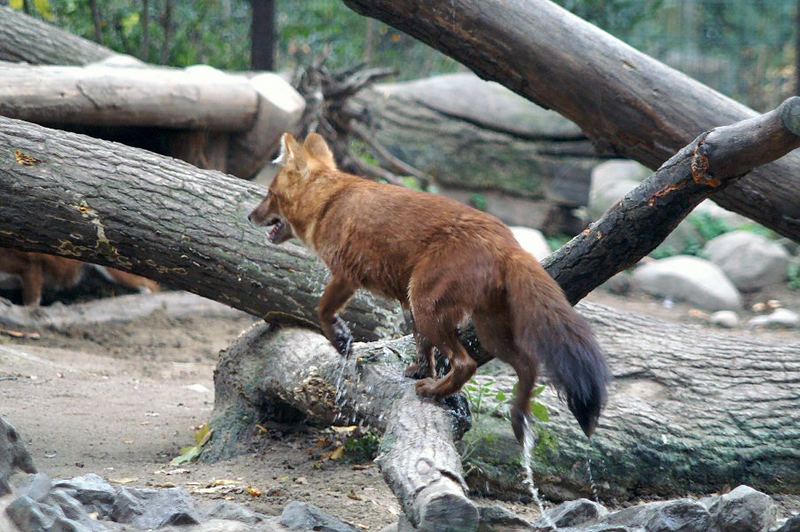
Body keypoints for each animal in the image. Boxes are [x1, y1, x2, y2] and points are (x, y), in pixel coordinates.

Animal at [247, 132, 608, 440]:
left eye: (270, 194)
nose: (250, 215)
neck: (331, 201)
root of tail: (508, 243)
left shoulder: (347, 275)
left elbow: (322, 310)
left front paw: (341, 339)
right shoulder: (404, 302)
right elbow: (421, 345)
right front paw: (420, 371)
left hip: (429, 304)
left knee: (467, 363)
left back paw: (436, 392)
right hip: (485, 327)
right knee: (527, 365)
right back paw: (517, 418)